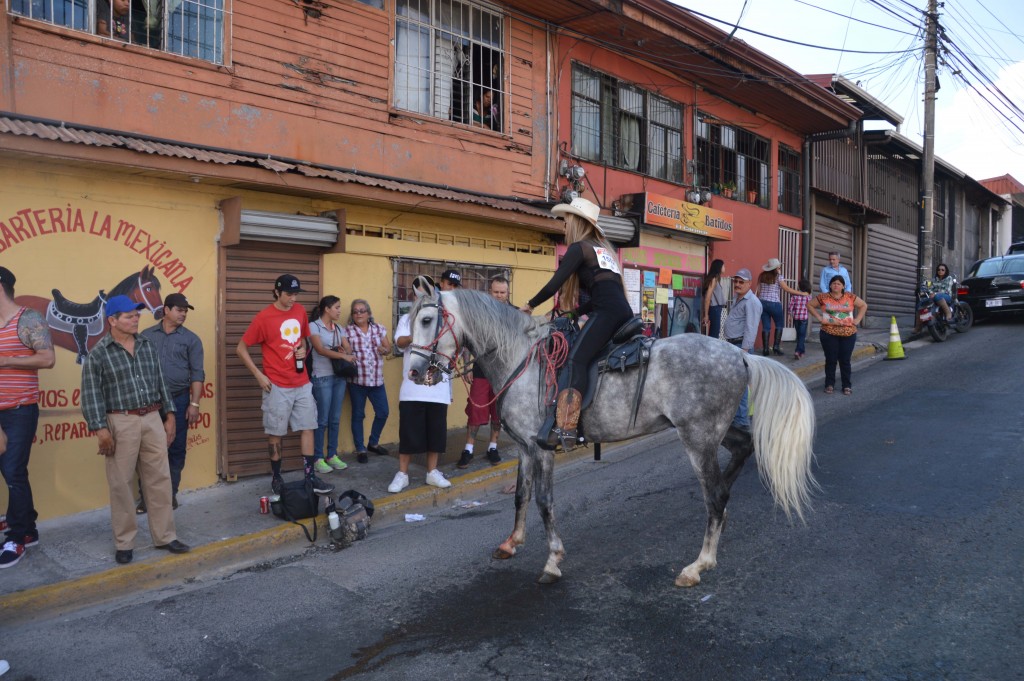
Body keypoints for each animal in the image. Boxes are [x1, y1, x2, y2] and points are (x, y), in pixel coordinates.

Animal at [407, 286, 815, 585]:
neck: (521, 358)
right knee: (741, 453)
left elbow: (544, 501)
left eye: (427, 319)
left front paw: (552, 560)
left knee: (715, 495)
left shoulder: (542, 449)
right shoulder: (524, 448)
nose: (412, 371)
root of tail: (740, 354)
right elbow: (521, 496)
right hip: (715, 432)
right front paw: (511, 543)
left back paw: (699, 564)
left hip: (698, 439)